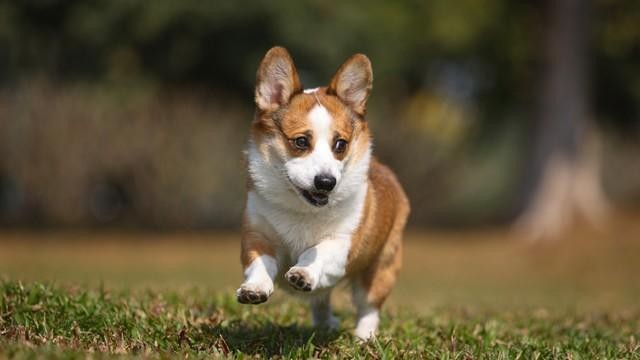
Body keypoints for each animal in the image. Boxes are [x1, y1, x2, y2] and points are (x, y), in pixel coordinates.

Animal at [236, 46, 410, 338]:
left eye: (340, 144)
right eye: (300, 142)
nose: (326, 182)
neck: (302, 209)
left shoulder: (342, 244)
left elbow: (315, 252)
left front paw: (303, 273)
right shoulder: (257, 236)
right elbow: (261, 264)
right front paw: (255, 288)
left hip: (381, 268)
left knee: (369, 306)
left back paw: (364, 337)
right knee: (320, 299)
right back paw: (325, 323)